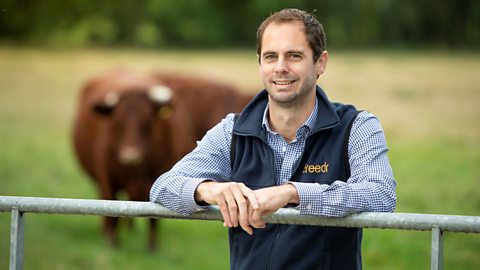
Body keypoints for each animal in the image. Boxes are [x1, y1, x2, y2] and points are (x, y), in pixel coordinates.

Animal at [72, 69, 196, 249]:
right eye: (117, 121)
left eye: (148, 121)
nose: (131, 155)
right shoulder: (108, 180)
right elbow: (111, 212)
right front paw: (113, 245)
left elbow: (153, 218)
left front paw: (152, 247)